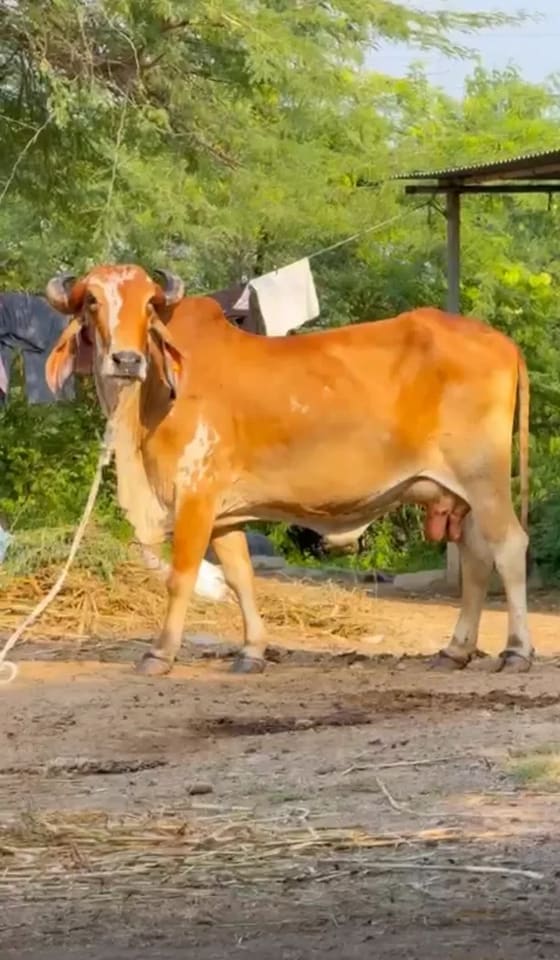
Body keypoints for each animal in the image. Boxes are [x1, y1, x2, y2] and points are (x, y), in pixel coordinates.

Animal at [44, 264, 532, 677]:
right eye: (92, 301)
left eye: (149, 303)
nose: (127, 360)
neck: (147, 403)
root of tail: (503, 342)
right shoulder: (223, 512)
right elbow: (241, 576)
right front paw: (251, 652)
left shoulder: (195, 496)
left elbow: (180, 577)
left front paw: (159, 653)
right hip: (460, 494)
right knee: (476, 557)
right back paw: (456, 650)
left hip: (483, 478)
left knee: (508, 546)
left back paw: (516, 650)